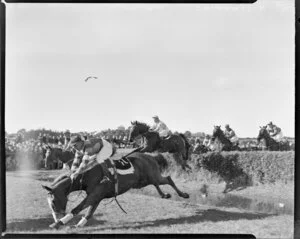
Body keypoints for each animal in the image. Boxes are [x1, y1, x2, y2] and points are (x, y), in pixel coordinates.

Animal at [41, 152, 190, 229]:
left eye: (53, 202)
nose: (57, 216)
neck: (88, 173)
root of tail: (151, 156)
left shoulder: (96, 193)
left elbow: (78, 208)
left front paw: (58, 223)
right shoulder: (96, 195)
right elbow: (89, 211)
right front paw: (79, 223)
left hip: (152, 176)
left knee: (168, 179)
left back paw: (183, 194)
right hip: (143, 182)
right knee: (158, 183)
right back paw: (164, 194)